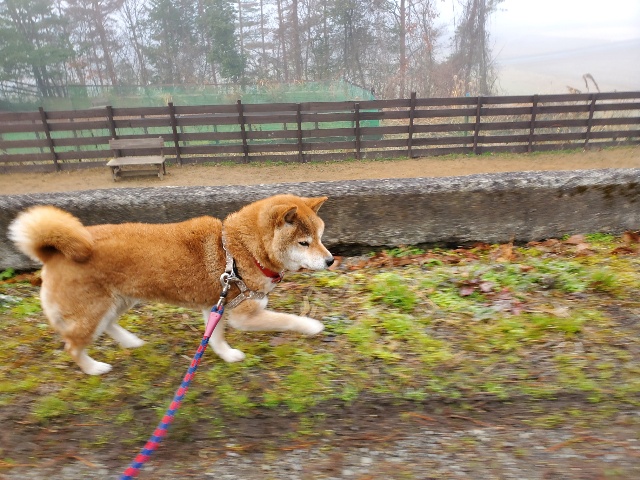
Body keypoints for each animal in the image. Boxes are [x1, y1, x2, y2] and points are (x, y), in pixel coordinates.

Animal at [8, 194, 334, 375]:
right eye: (304, 243)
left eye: (320, 237)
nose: (331, 260)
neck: (239, 250)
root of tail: (52, 253)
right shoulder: (243, 315)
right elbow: (287, 320)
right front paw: (312, 326)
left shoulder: (214, 305)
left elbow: (214, 338)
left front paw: (226, 355)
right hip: (91, 311)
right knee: (73, 347)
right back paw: (94, 368)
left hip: (119, 301)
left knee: (108, 325)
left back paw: (131, 342)